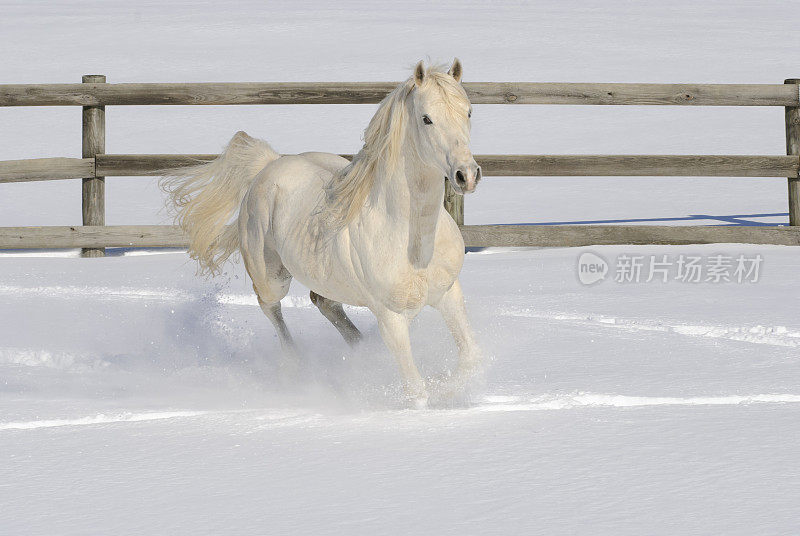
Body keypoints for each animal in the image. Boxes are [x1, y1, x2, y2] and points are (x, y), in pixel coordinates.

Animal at [162, 59, 482, 406]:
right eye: (426, 118)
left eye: (468, 112)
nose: (466, 175)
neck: (412, 243)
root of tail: (269, 165)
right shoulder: (391, 319)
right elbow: (415, 390)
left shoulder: (449, 294)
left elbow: (470, 358)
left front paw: (446, 388)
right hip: (271, 277)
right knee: (271, 307)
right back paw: (295, 366)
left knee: (323, 301)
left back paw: (359, 353)